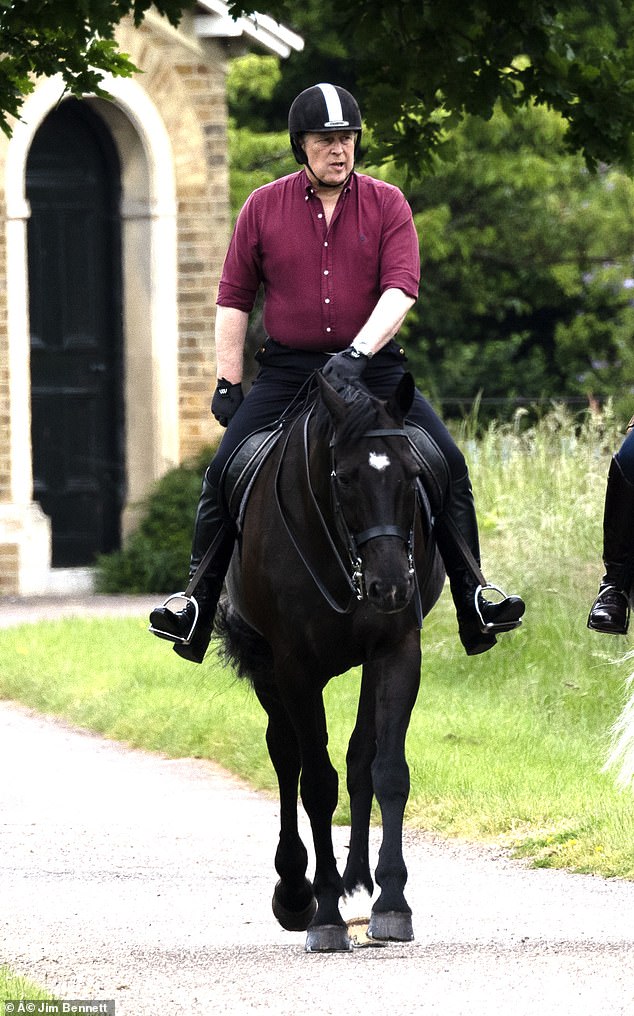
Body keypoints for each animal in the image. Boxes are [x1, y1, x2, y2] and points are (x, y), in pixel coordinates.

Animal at [217, 373, 445, 950]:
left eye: (412, 474)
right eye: (343, 477)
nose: (392, 587)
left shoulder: (396, 650)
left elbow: (388, 770)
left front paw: (392, 901)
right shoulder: (294, 667)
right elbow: (316, 784)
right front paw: (323, 911)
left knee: (359, 756)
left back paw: (357, 879)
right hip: (269, 671)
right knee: (286, 756)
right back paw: (296, 889)